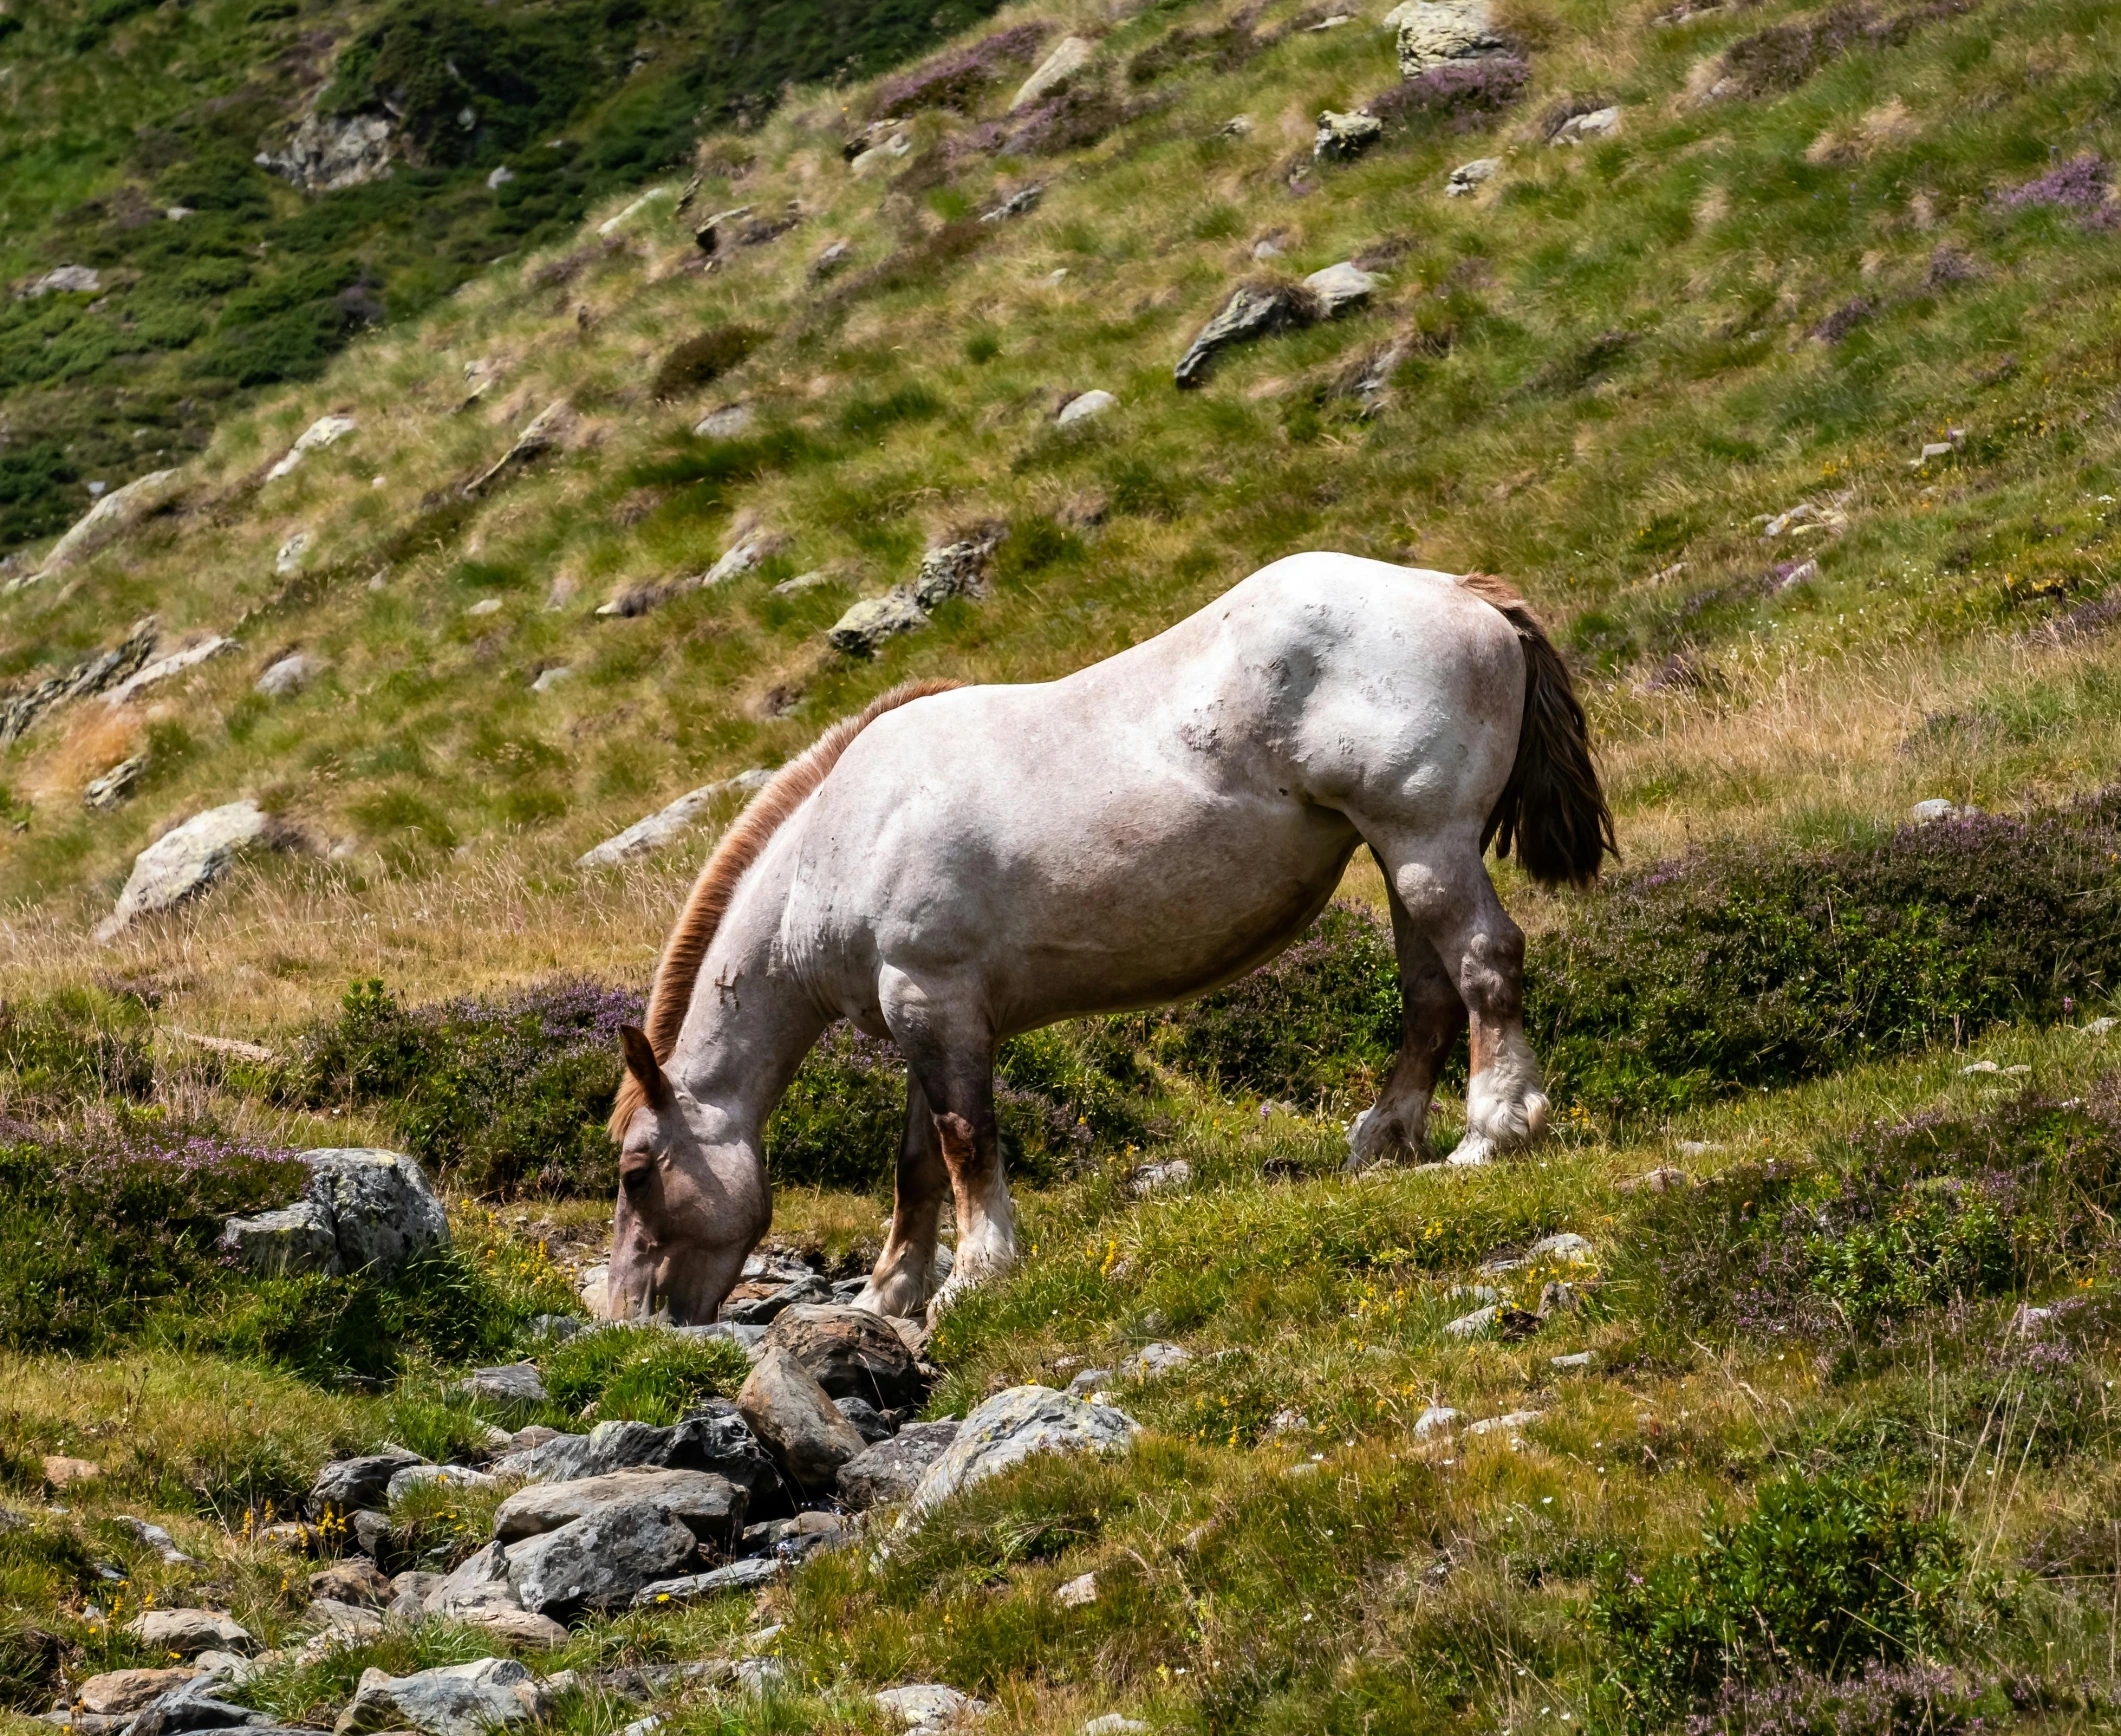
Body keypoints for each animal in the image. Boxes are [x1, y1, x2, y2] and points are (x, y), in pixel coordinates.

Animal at [606, 547, 1611, 1315]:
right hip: (1405, 859)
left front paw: (975, 1275)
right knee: (1430, 996)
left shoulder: (931, 996)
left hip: (1424, 843)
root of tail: (1458, 592)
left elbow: (965, 1141)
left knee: (1483, 964)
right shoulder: (929, 1011)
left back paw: (1491, 1133)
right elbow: (919, 1161)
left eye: (636, 1173)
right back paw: (1383, 1143)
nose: (633, 1317)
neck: (840, 837)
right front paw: (890, 1291)